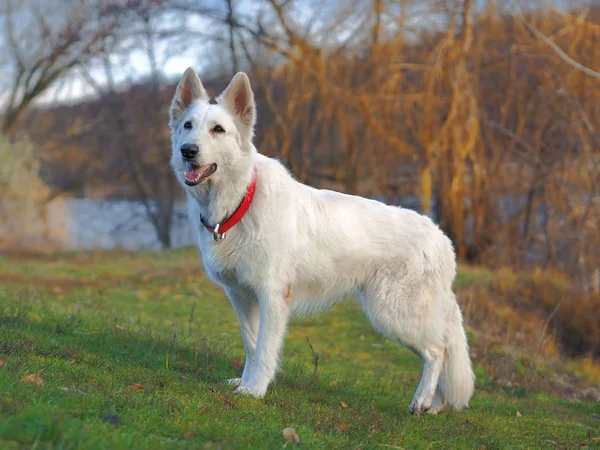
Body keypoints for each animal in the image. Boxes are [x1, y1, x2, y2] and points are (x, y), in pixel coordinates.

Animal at [168, 67, 474, 414]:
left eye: (217, 130)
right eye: (188, 126)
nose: (188, 150)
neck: (241, 201)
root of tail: (442, 239)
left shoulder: (273, 297)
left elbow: (265, 349)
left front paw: (256, 390)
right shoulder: (241, 296)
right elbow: (251, 344)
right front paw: (244, 383)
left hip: (393, 315)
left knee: (438, 351)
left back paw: (422, 400)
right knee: (443, 351)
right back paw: (434, 405)